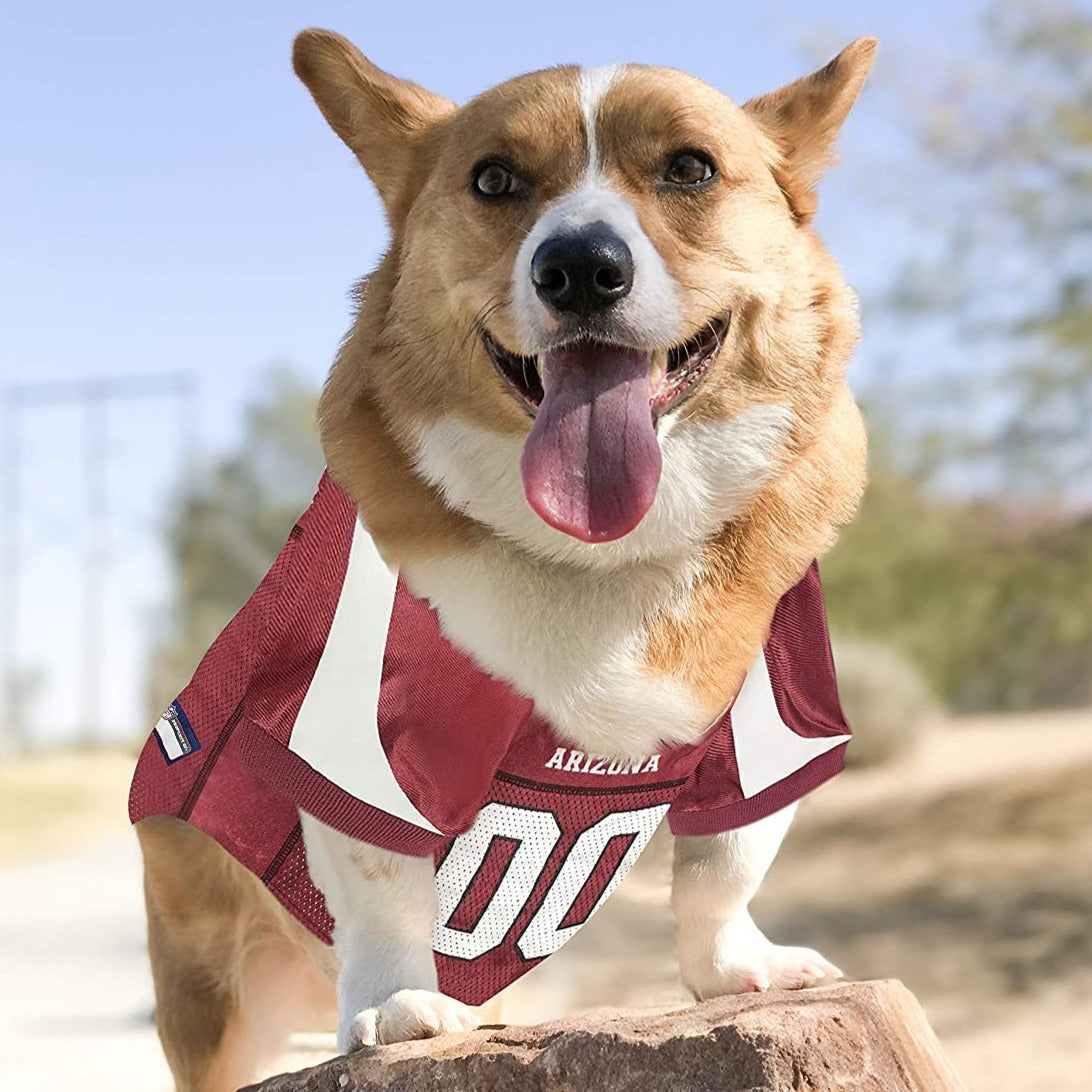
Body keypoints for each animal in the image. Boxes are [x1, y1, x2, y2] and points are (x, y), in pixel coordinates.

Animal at [132, 29, 873, 1087]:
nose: (580, 267)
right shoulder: (352, 739)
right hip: (212, 984)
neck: (604, 553)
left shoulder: (770, 725)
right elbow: (385, 878)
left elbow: (723, 866)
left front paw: (738, 969)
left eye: (690, 167)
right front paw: (399, 1003)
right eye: (494, 180)